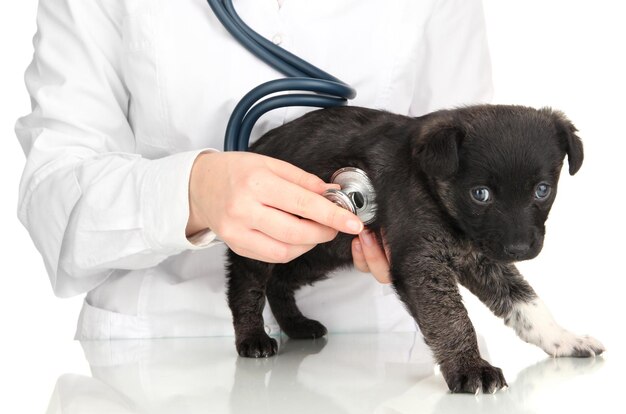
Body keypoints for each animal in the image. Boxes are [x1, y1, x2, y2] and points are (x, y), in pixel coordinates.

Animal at [224, 105, 600, 392]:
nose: (519, 249)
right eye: (480, 194)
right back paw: (253, 338)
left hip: (316, 249)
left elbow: (528, 305)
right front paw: (470, 368)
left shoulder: (483, 257)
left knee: (280, 280)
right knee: (246, 283)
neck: (434, 188)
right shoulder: (422, 262)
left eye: (542, 190)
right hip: (269, 235)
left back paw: (296, 325)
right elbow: (451, 319)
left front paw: (564, 340)